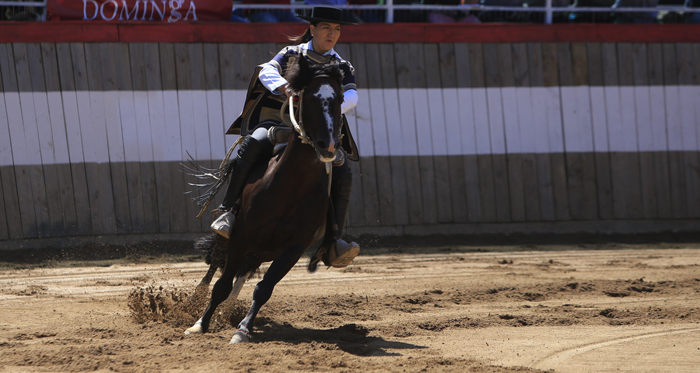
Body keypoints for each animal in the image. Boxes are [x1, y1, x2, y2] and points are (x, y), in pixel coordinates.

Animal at [182, 56, 344, 344]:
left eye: (340, 99)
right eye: (306, 98)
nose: (329, 146)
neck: (290, 189)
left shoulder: (293, 249)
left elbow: (263, 288)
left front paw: (243, 329)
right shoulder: (241, 236)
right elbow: (221, 284)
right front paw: (200, 324)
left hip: (263, 251)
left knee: (243, 274)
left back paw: (228, 313)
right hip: (235, 239)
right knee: (215, 266)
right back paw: (197, 301)